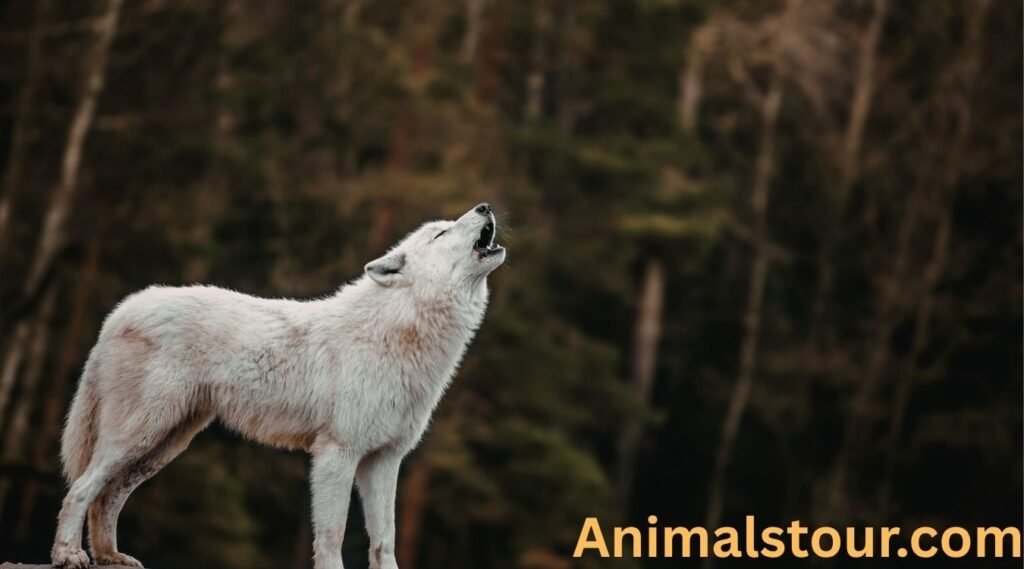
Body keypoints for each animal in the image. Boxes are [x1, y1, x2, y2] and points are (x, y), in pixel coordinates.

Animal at [50, 203, 506, 569]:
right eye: (441, 233)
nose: (485, 206)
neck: (399, 331)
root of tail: (122, 310)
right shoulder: (336, 455)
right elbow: (332, 538)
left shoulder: (384, 461)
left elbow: (384, 543)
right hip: (139, 433)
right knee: (80, 489)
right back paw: (69, 555)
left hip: (164, 444)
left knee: (107, 496)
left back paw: (110, 556)